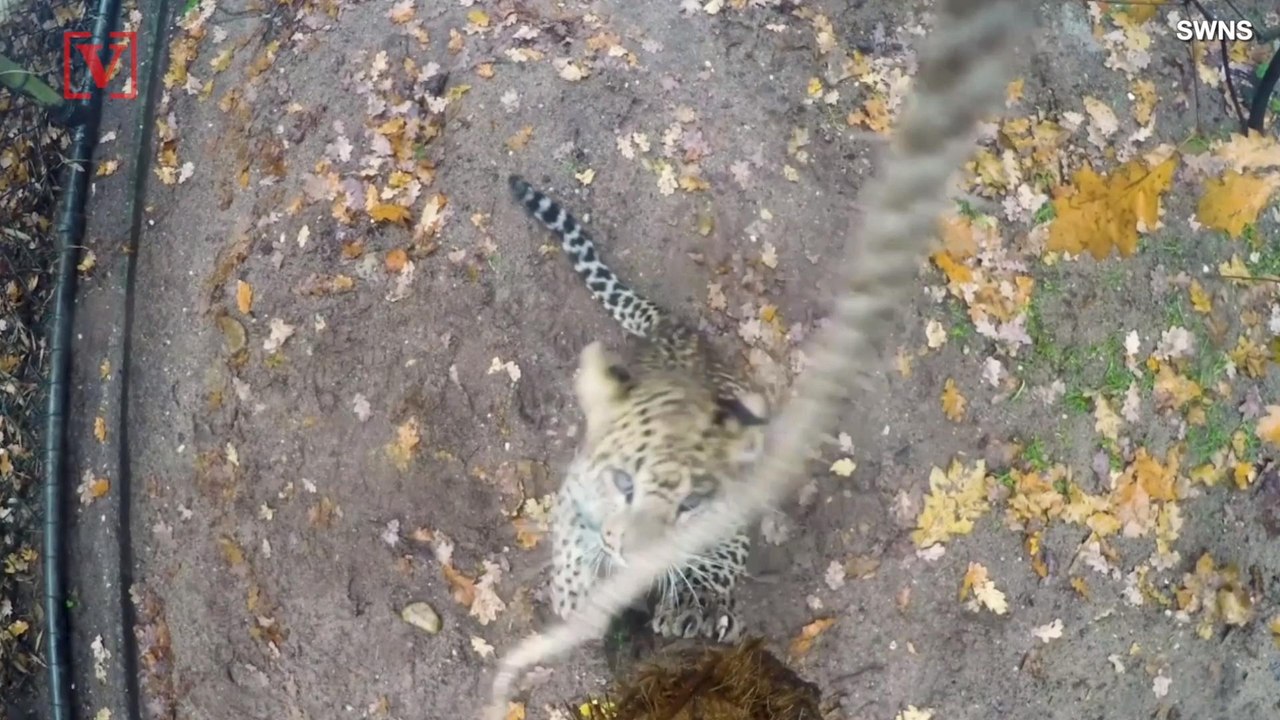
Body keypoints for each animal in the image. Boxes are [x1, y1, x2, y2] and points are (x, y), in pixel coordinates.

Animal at [508, 174, 769, 644]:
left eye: (690, 504)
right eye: (624, 484)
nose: (636, 554)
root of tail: (672, 324)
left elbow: (721, 555)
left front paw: (697, 604)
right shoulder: (578, 485)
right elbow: (572, 538)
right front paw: (574, 595)